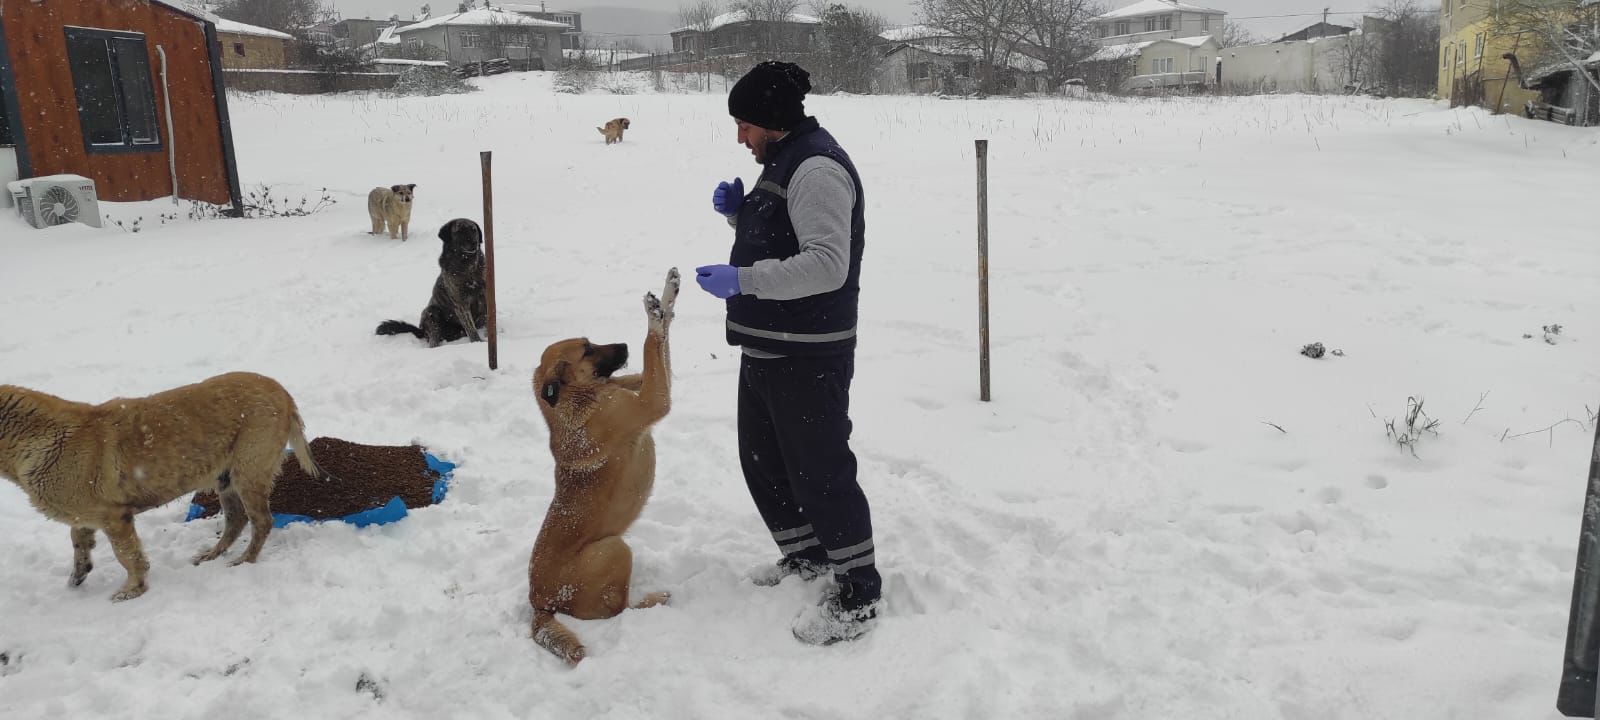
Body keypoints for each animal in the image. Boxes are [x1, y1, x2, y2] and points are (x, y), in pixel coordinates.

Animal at [0, 371, 326, 601]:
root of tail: (283, 393)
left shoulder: (115, 517)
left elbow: (127, 555)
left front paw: (132, 590)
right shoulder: (85, 516)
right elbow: (79, 544)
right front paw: (77, 577)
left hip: (249, 472)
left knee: (261, 521)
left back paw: (245, 560)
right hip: (227, 479)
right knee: (236, 520)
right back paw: (211, 555)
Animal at [374, 216, 486, 345]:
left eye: (474, 230)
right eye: (460, 231)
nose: (474, 243)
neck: (468, 265)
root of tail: (421, 331)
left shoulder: (485, 294)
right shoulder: (461, 303)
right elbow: (471, 328)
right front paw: (478, 343)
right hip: (431, 313)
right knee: (433, 343)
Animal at [524, 267, 675, 665]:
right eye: (588, 350)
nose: (622, 344)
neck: (579, 401)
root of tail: (538, 603)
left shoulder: (640, 386)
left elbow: (660, 352)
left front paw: (667, 297)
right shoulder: (653, 400)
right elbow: (653, 347)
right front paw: (652, 316)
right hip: (614, 549)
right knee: (619, 610)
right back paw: (655, 600)